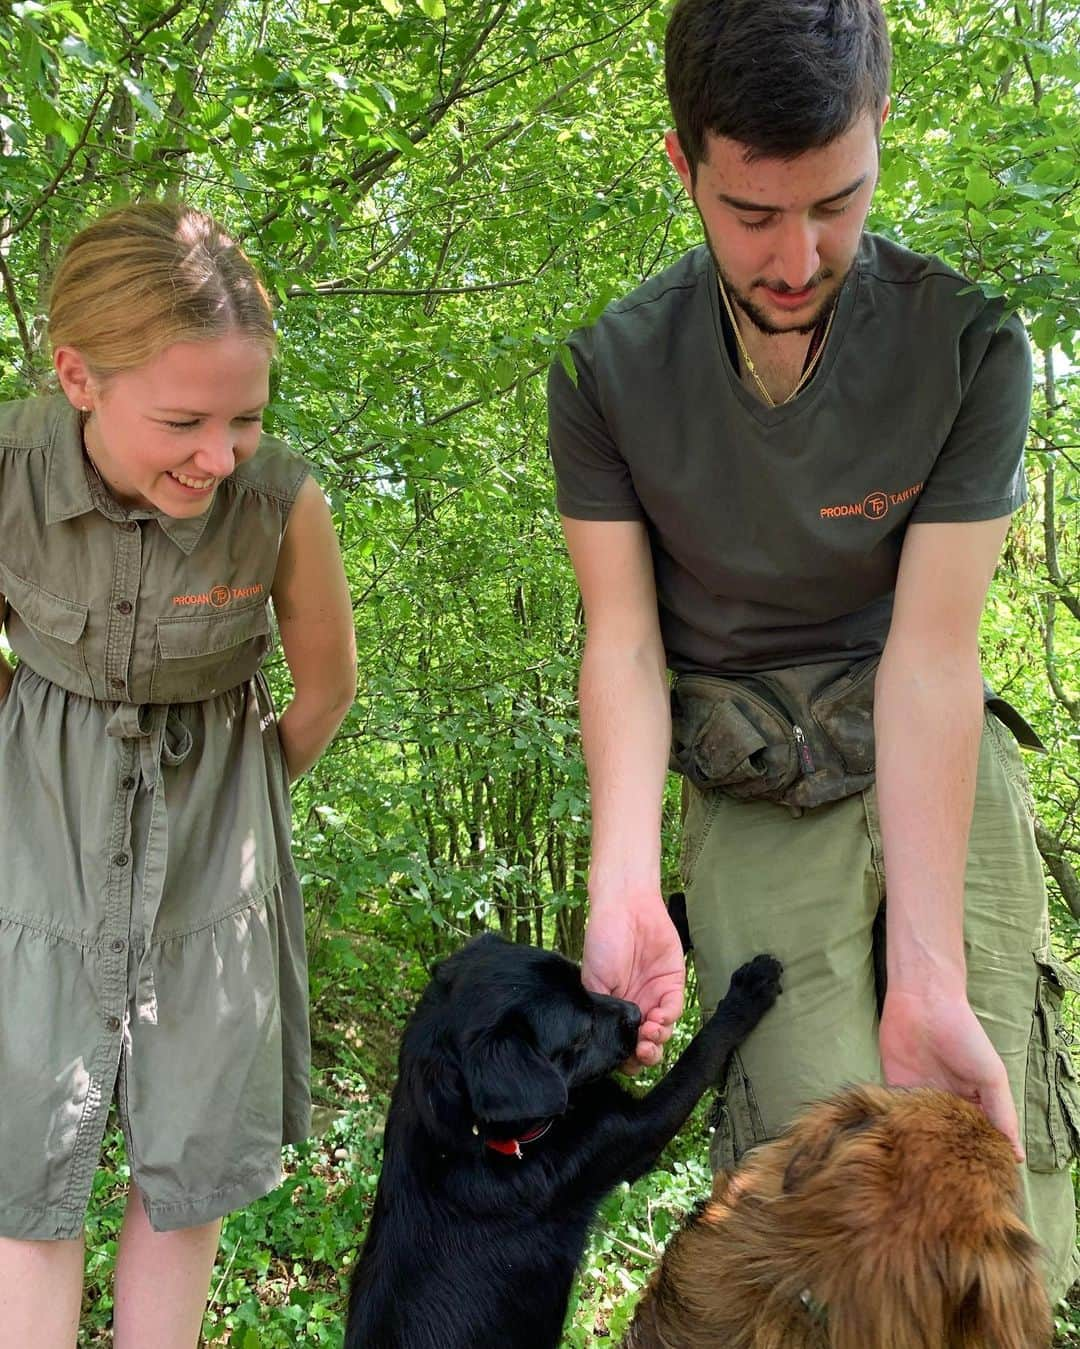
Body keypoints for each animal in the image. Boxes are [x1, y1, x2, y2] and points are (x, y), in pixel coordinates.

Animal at [343, 933, 776, 1343]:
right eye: (581, 1034)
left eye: (585, 983)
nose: (635, 1013)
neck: (473, 1140)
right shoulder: (632, 1133)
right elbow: (698, 1057)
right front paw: (744, 998)